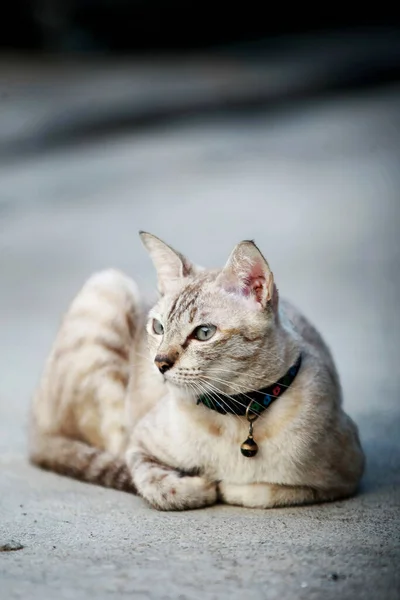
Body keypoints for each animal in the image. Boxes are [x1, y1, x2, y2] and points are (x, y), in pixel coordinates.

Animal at [29, 232, 364, 508]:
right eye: (158, 327)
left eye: (204, 333)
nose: (159, 363)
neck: (238, 411)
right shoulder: (139, 446)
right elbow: (156, 484)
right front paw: (199, 485)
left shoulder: (348, 476)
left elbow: (265, 491)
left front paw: (229, 485)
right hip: (110, 284)